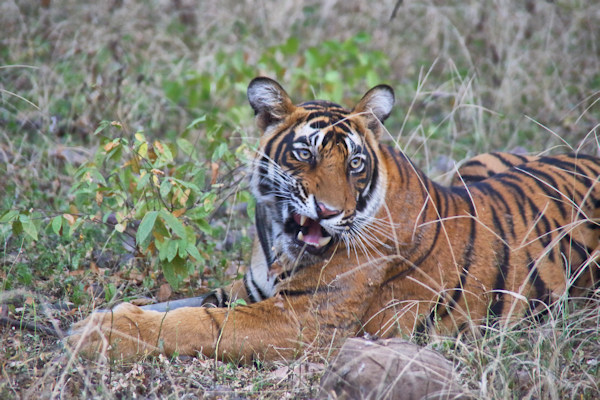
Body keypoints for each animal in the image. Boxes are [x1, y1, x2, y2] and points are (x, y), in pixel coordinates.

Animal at [68, 76, 600, 360]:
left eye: (356, 164)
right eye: (305, 153)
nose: (328, 211)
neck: (279, 239)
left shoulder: (297, 320)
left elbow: (195, 324)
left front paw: (99, 333)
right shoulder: (249, 289)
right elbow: (178, 304)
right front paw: (101, 318)